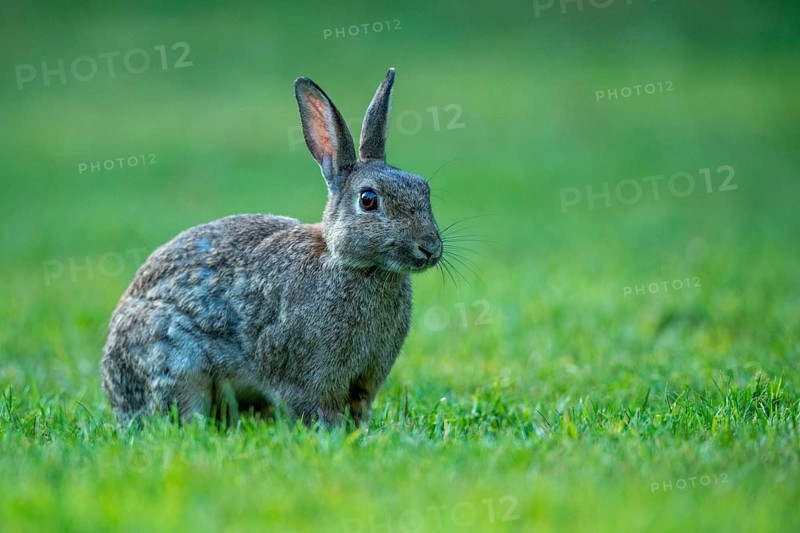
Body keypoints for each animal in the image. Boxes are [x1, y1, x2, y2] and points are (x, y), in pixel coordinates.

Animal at [100, 68, 443, 429]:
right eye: (368, 200)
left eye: (423, 187)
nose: (429, 248)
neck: (350, 264)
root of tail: (112, 389)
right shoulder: (304, 375)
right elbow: (313, 407)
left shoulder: (365, 378)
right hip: (173, 359)